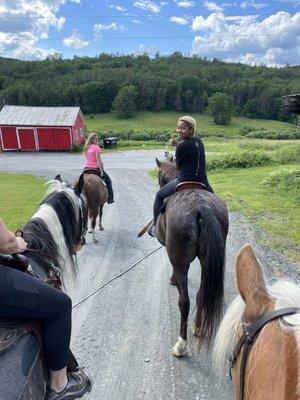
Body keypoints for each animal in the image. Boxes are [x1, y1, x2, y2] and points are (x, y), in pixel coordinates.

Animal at [156, 159, 229, 356]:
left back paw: (181, 344)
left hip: (182, 262)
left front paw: (172, 279)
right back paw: (197, 327)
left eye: (158, 175)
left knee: (184, 302)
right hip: (206, 261)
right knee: (201, 294)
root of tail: (201, 207)